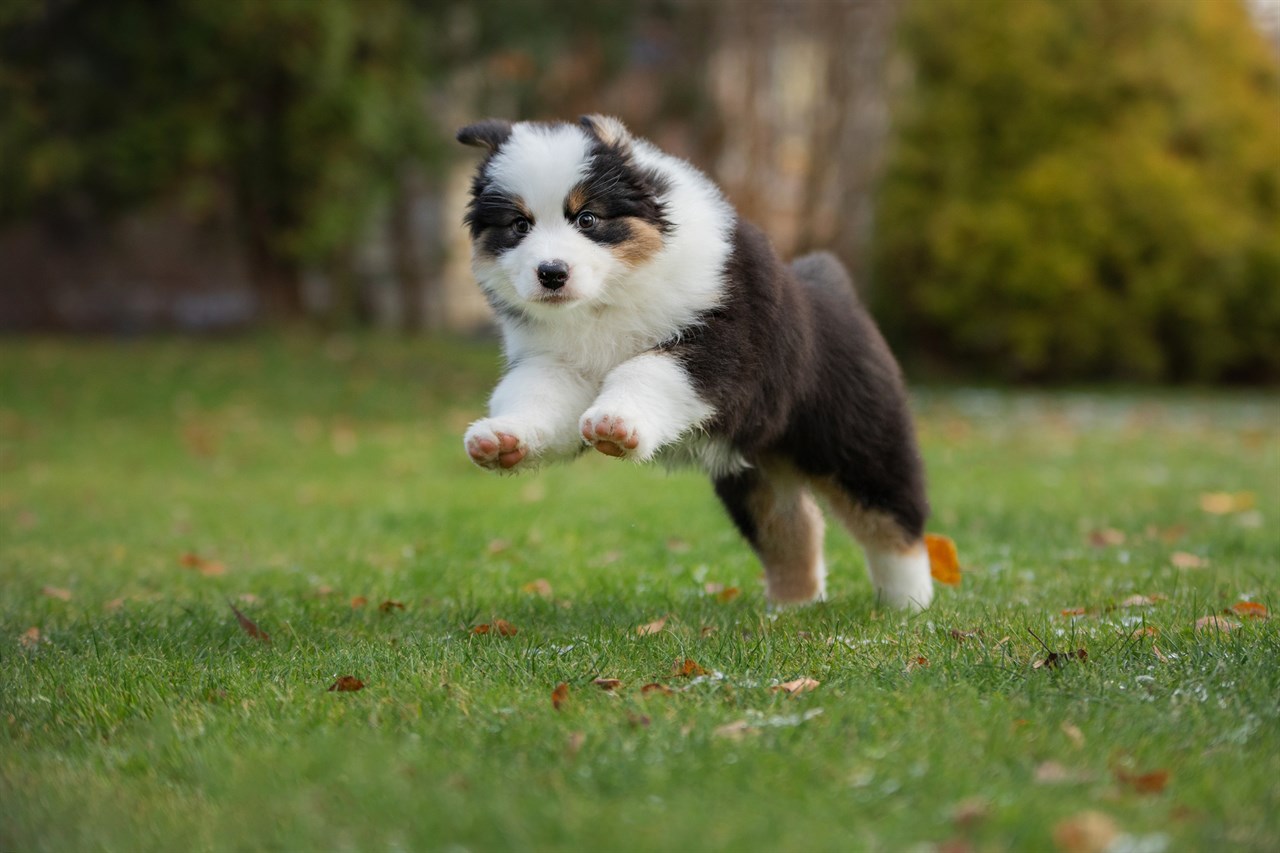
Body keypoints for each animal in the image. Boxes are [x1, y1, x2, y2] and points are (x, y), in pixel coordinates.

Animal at [458, 116, 931, 612]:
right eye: (518, 224)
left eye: (587, 218)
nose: (551, 273)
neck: (607, 298)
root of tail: (831, 281)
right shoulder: (555, 362)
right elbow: (537, 397)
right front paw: (502, 439)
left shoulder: (721, 345)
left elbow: (644, 369)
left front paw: (616, 423)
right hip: (750, 470)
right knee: (790, 526)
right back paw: (792, 609)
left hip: (855, 438)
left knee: (892, 518)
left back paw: (908, 607)